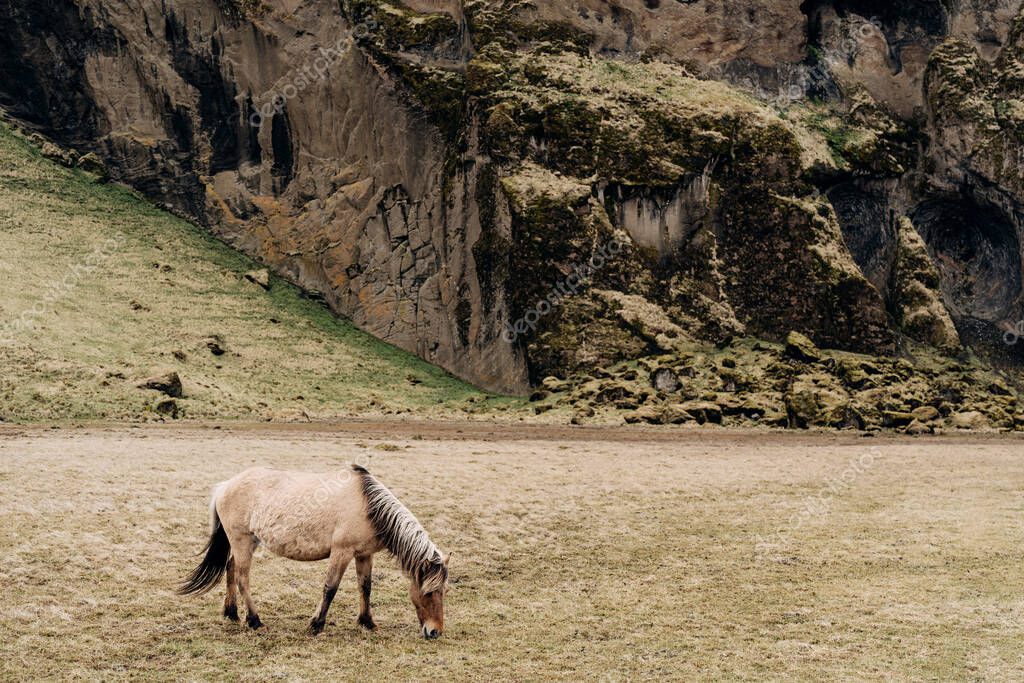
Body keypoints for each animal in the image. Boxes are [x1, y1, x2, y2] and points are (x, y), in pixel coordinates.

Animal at [177, 464, 449, 639]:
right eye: (429, 592)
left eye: (443, 592)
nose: (434, 631)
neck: (368, 506)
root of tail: (225, 485)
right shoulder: (341, 552)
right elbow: (330, 588)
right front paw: (316, 625)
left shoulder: (363, 554)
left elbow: (365, 587)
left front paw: (367, 622)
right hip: (242, 541)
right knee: (243, 577)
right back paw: (255, 621)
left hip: (246, 542)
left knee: (231, 568)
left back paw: (231, 613)